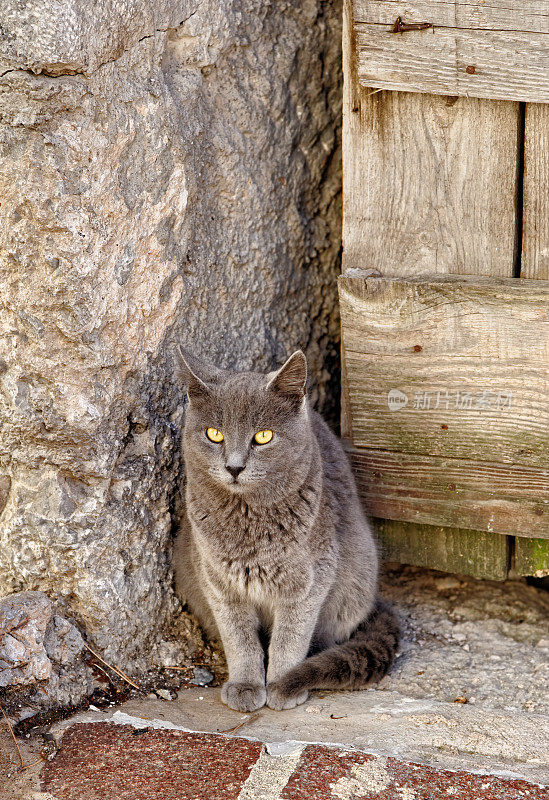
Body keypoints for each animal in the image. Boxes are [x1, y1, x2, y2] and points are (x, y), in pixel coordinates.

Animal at [174, 350, 398, 712]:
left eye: (263, 436)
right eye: (214, 434)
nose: (234, 467)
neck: (247, 521)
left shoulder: (310, 578)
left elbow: (290, 636)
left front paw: (282, 685)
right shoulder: (217, 581)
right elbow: (239, 639)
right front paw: (246, 685)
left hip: (355, 579)